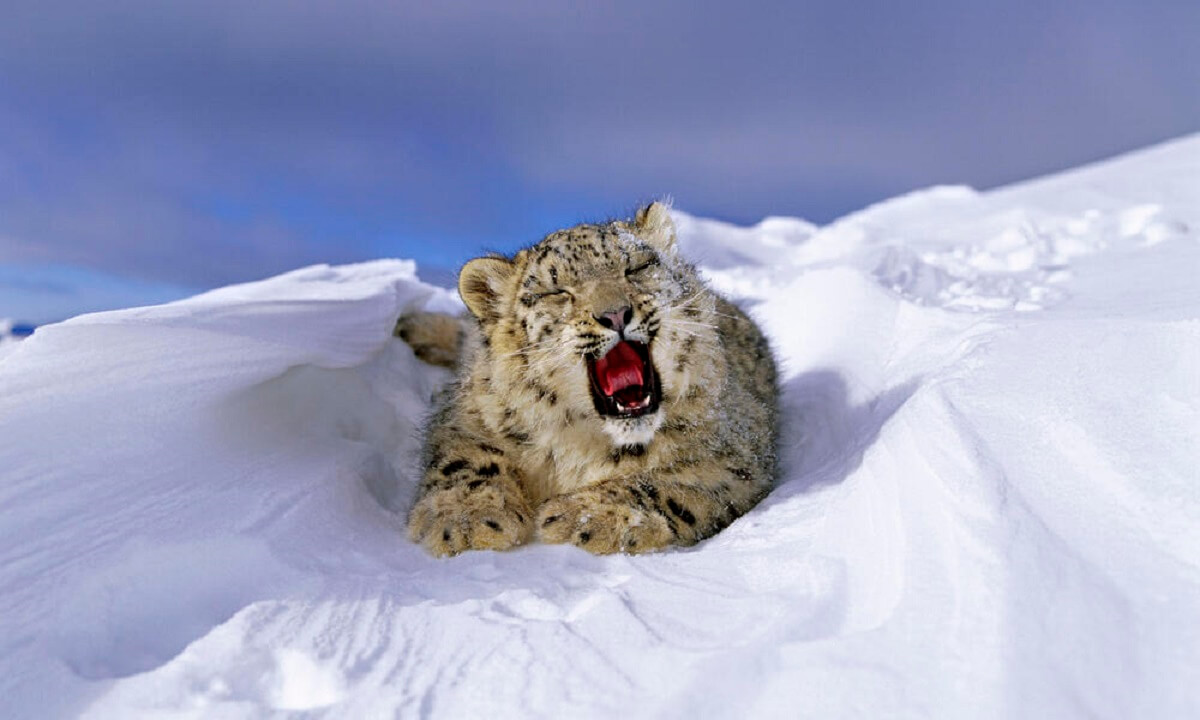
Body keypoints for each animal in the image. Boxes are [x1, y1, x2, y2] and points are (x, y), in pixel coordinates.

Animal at [396, 202, 777, 556]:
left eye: (636, 267)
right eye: (557, 291)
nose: (615, 313)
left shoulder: (735, 456)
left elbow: (672, 484)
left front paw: (585, 516)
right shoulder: (466, 416)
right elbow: (465, 459)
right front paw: (466, 519)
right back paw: (410, 326)